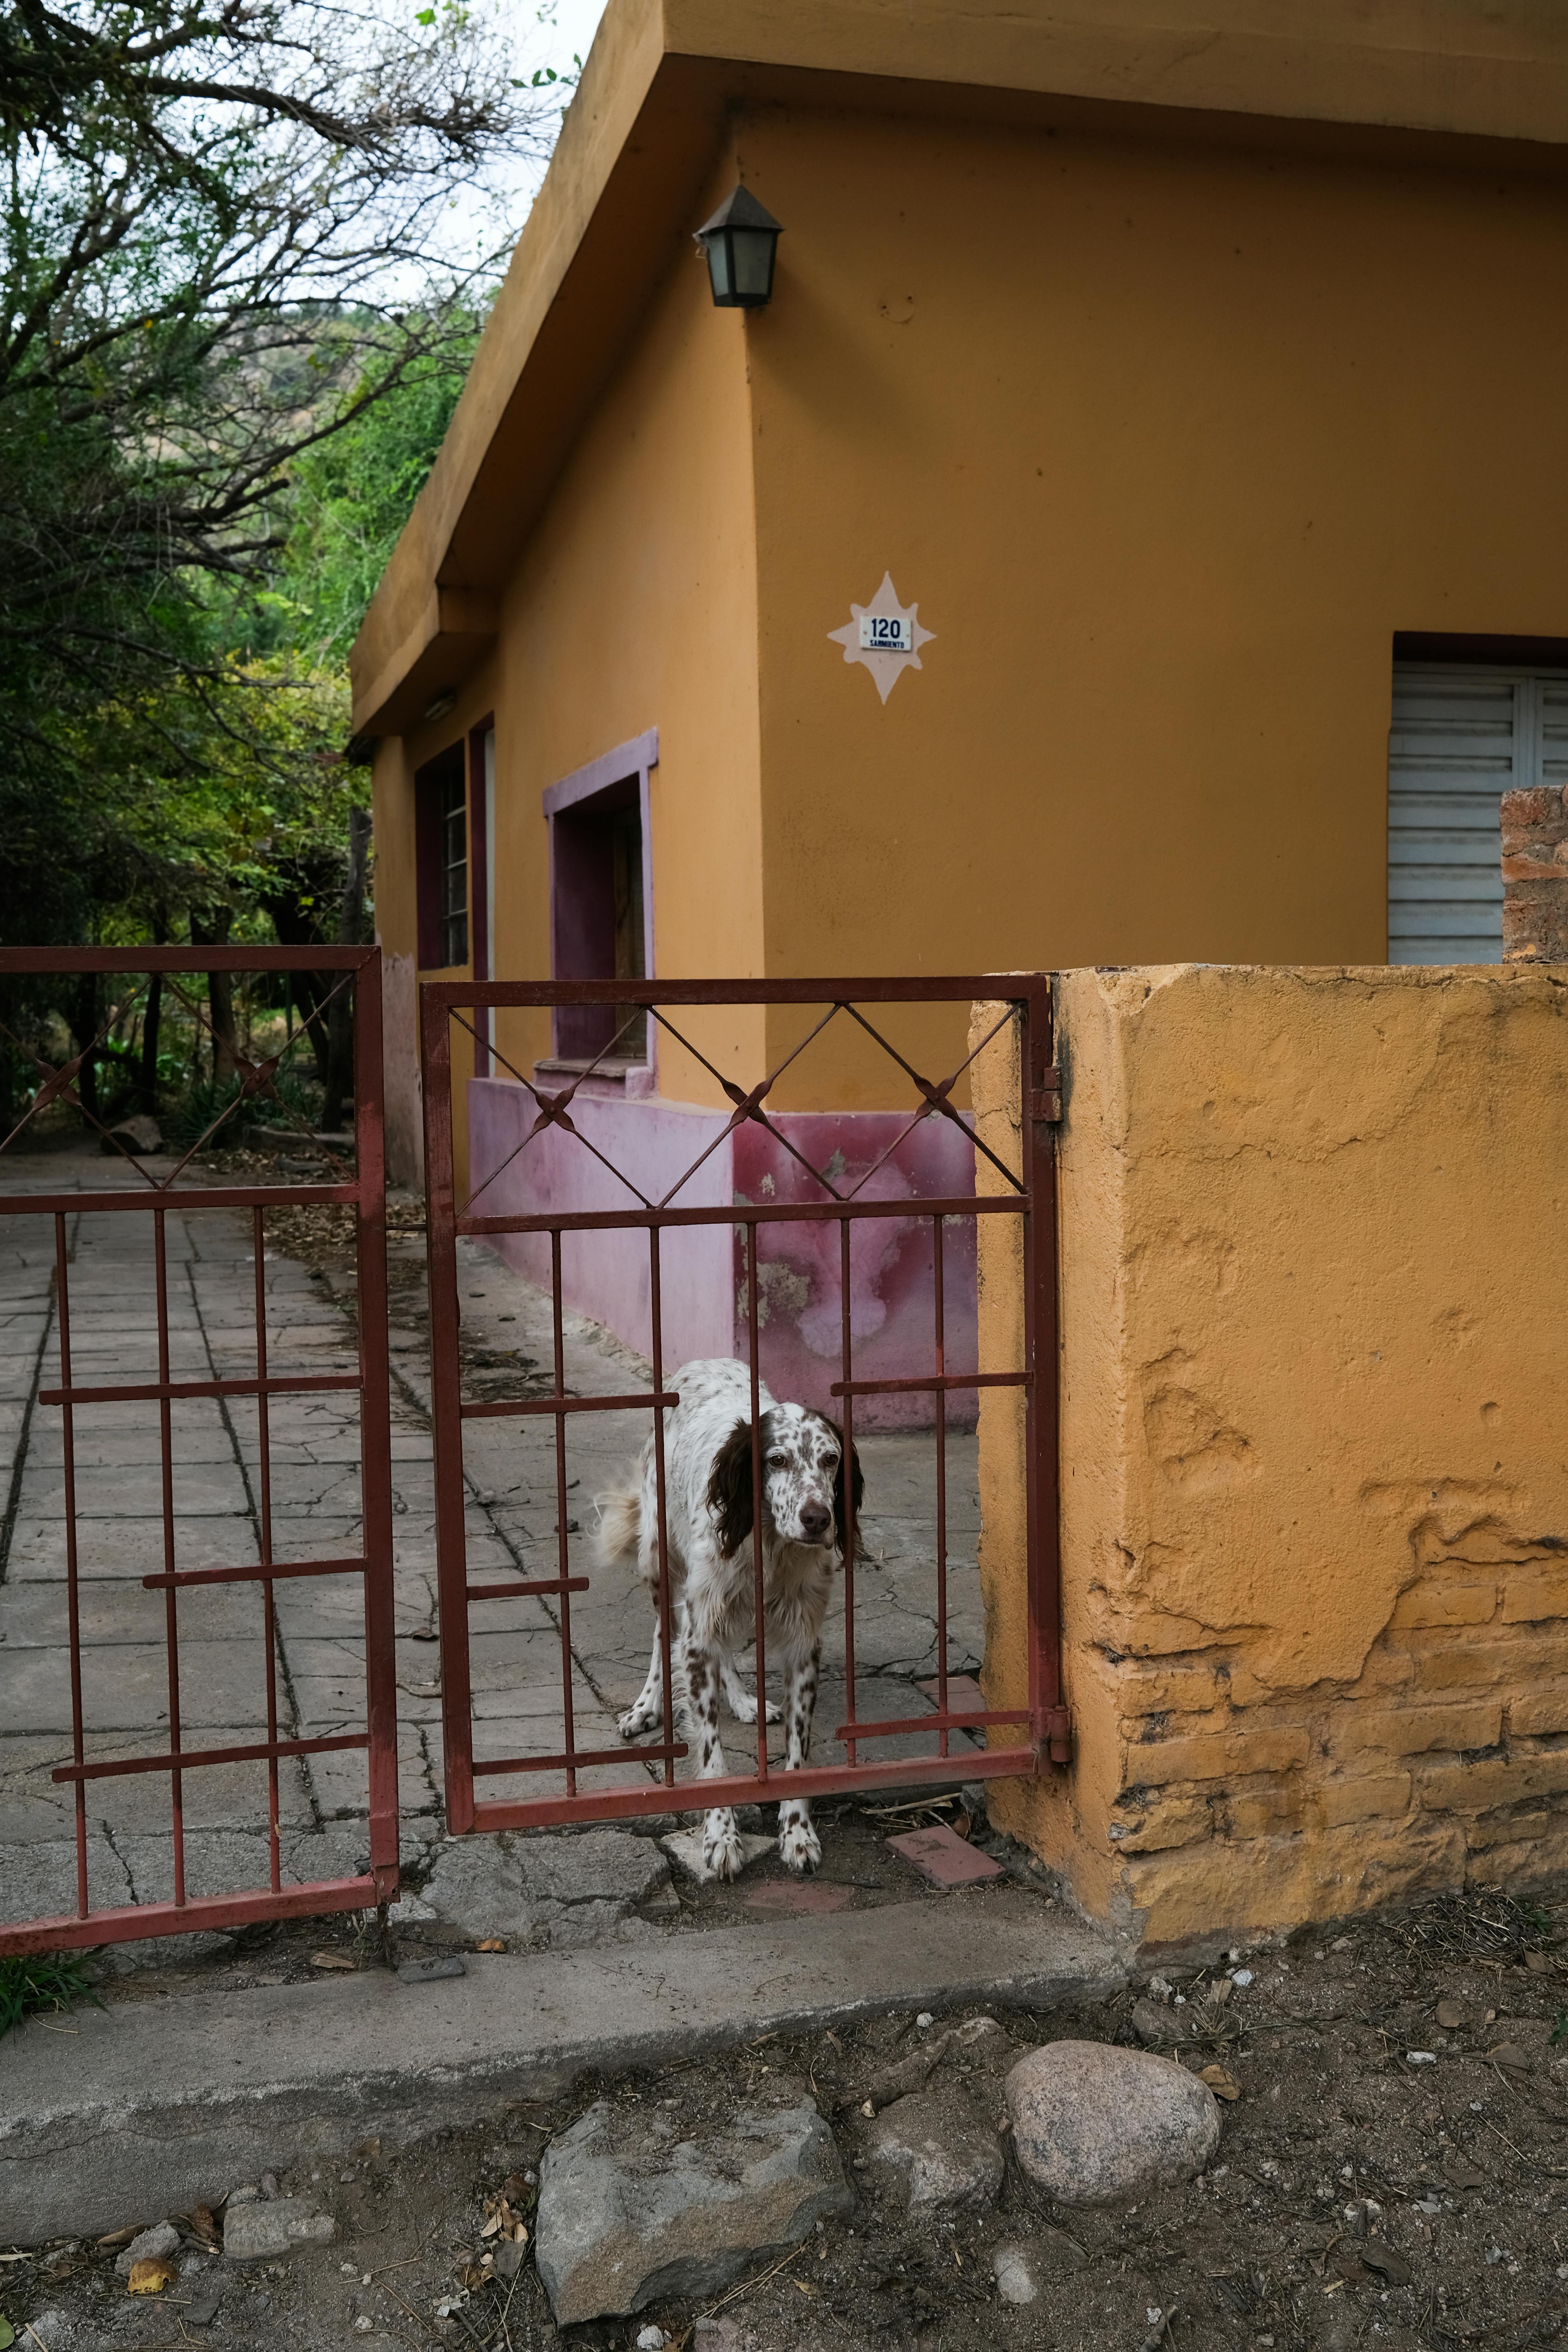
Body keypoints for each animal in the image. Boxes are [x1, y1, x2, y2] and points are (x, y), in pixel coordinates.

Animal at [601, 1364, 870, 1872]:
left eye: (830, 1459)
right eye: (777, 1460)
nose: (817, 1519)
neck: (769, 1545)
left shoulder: (803, 1642)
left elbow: (798, 1748)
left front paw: (797, 1832)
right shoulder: (699, 1624)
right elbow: (710, 1749)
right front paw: (721, 1835)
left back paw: (744, 1701)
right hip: (659, 1561)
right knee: (663, 1632)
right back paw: (647, 1706)